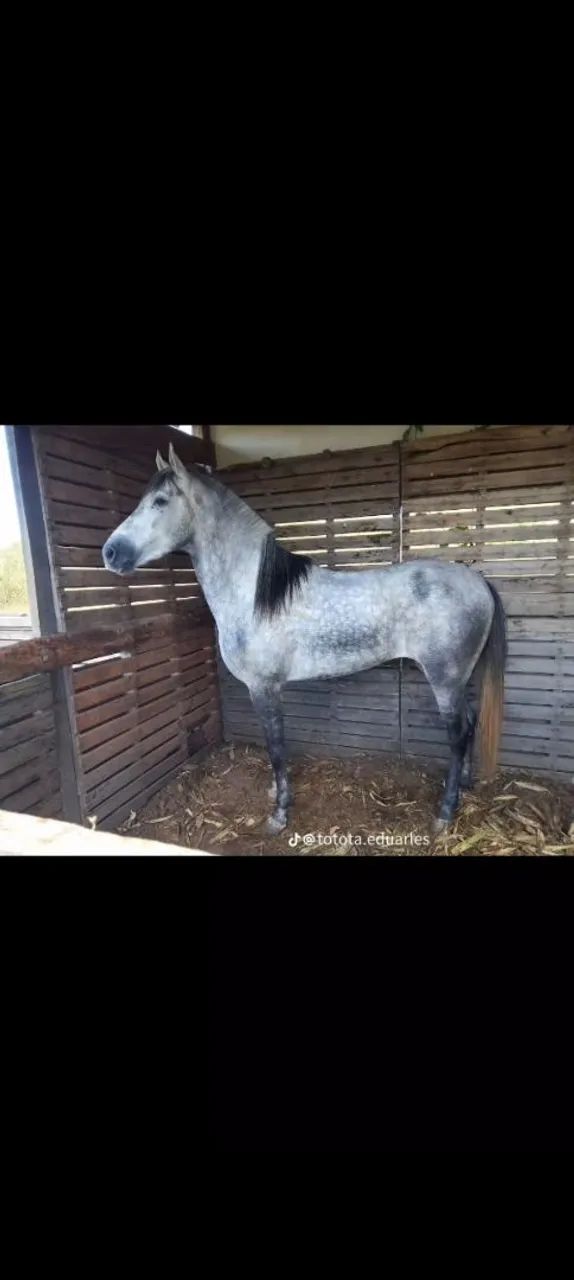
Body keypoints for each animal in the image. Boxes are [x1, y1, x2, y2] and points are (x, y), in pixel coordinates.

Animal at [102, 443, 507, 835]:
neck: (253, 593)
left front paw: (279, 814)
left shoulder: (263, 687)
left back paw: (446, 812)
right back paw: (464, 784)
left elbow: (276, 746)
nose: (110, 552)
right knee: (470, 722)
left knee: (457, 735)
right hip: (459, 679)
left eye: (160, 501)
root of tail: (478, 582)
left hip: (445, 679)